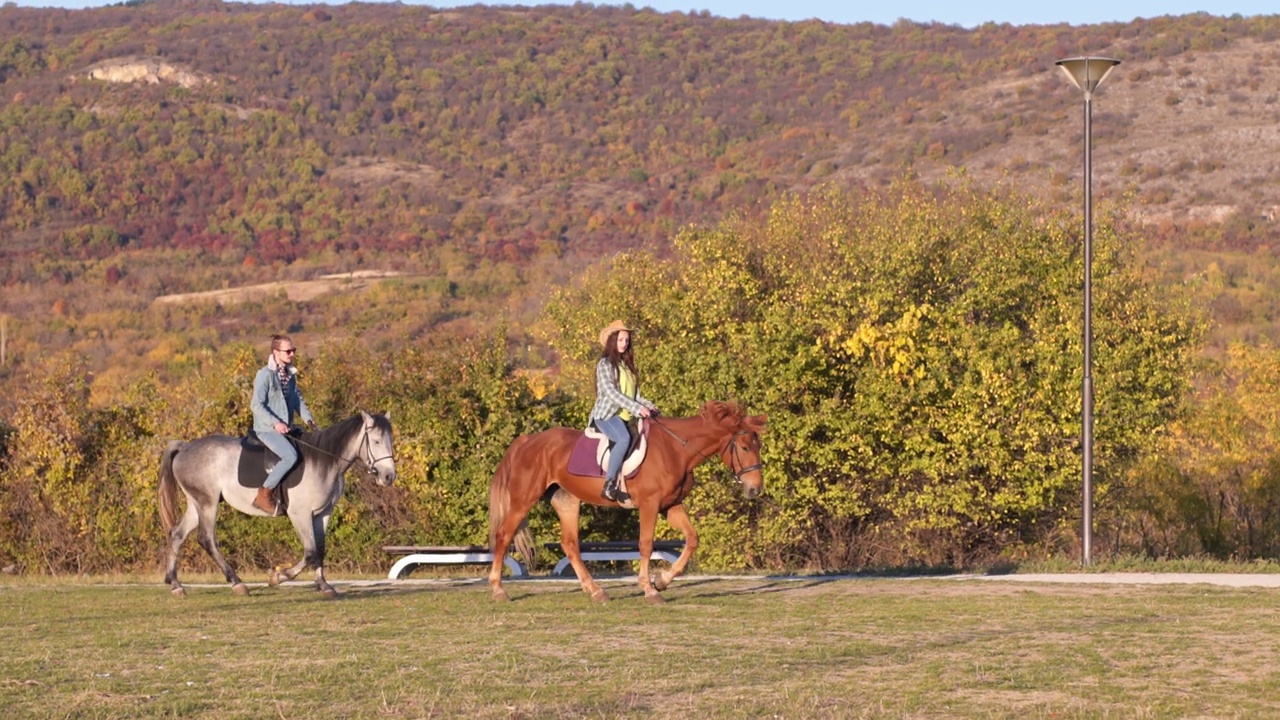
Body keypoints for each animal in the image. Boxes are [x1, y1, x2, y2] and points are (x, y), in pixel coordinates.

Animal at [158, 409, 394, 594]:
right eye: (376, 442)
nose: (389, 477)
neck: (325, 461)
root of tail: (185, 447)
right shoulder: (300, 514)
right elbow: (310, 551)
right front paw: (279, 576)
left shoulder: (323, 512)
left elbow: (320, 549)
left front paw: (323, 585)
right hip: (207, 503)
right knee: (207, 539)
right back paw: (236, 582)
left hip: (196, 504)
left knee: (177, 535)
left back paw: (175, 584)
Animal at [488, 397, 768, 599]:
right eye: (745, 447)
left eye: (759, 447)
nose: (755, 490)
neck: (676, 449)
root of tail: (527, 441)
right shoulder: (649, 505)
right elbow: (645, 544)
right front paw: (650, 589)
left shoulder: (671, 506)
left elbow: (691, 539)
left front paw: (662, 581)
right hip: (523, 499)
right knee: (504, 535)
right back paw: (498, 589)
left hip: (567, 500)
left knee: (570, 545)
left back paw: (595, 591)